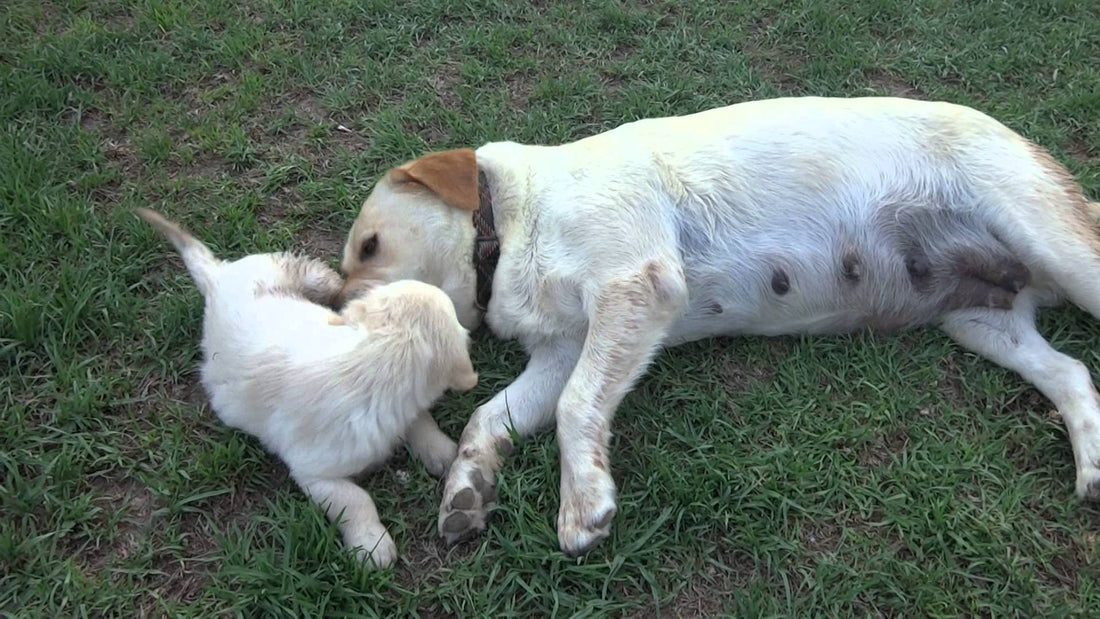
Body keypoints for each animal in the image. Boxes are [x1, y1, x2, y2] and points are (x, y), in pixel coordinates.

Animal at [134, 211, 477, 567]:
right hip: (294, 271)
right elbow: (356, 499)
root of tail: (219, 276)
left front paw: (439, 449)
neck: (376, 358)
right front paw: (372, 543)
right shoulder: (314, 474)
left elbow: (419, 419)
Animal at [336, 96, 1100, 556]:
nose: (338, 318)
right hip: (981, 323)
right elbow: (488, 418)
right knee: (1074, 373)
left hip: (1059, 249)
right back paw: (1093, 465)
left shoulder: (635, 287)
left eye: (369, 246)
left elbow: (577, 407)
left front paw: (583, 505)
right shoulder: (561, 349)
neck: (510, 223)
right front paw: (467, 490)